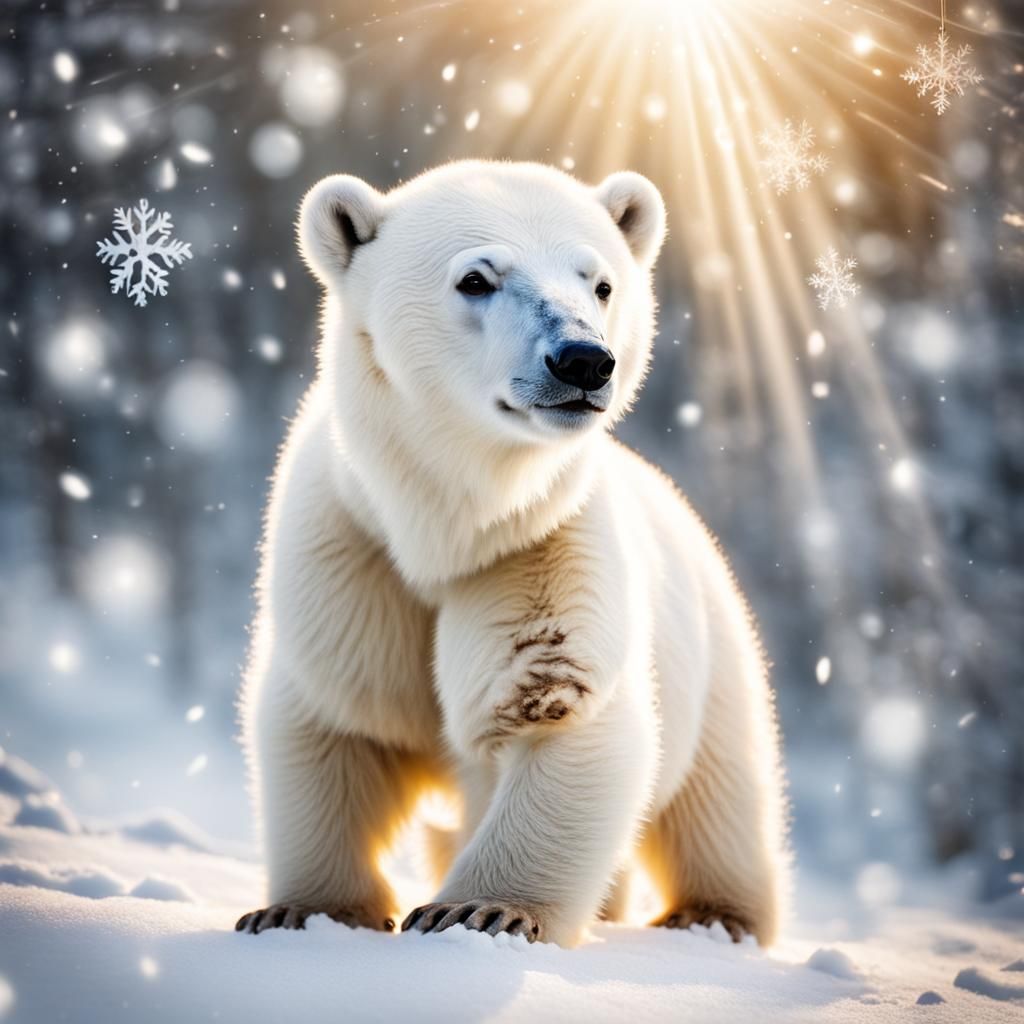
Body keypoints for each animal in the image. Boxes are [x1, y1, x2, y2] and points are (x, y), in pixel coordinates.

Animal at [236, 160, 789, 948]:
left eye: (600, 283)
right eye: (476, 278)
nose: (584, 360)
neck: (447, 528)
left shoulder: (542, 549)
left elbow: (556, 700)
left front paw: (478, 910)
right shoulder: (350, 559)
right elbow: (339, 718)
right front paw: (300, 911)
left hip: (714, 653)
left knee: (721, 791)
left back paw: (712, 914)